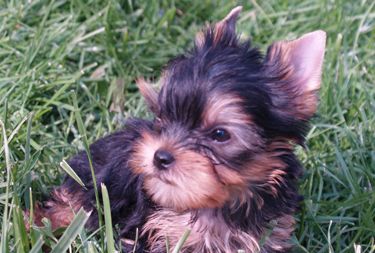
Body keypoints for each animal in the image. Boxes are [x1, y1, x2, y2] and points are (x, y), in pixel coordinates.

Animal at [26, 5, 326, 253]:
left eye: (220, 134)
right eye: (162, 117)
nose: (159, 156)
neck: (220, 204)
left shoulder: (271, 232)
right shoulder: (157, 231)